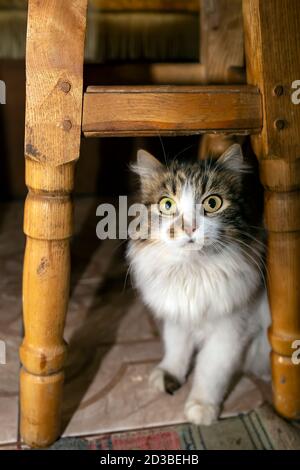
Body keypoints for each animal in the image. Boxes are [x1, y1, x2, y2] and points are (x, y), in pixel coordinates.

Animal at [126, 144, 270, 426]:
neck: (192, 271)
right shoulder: (177, 314)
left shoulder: (232, 329)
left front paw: (202, 407)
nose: (189, 227)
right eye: (167, 204)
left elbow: (210, 368)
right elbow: (176, 347)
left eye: (212, 203)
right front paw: (170, 375)